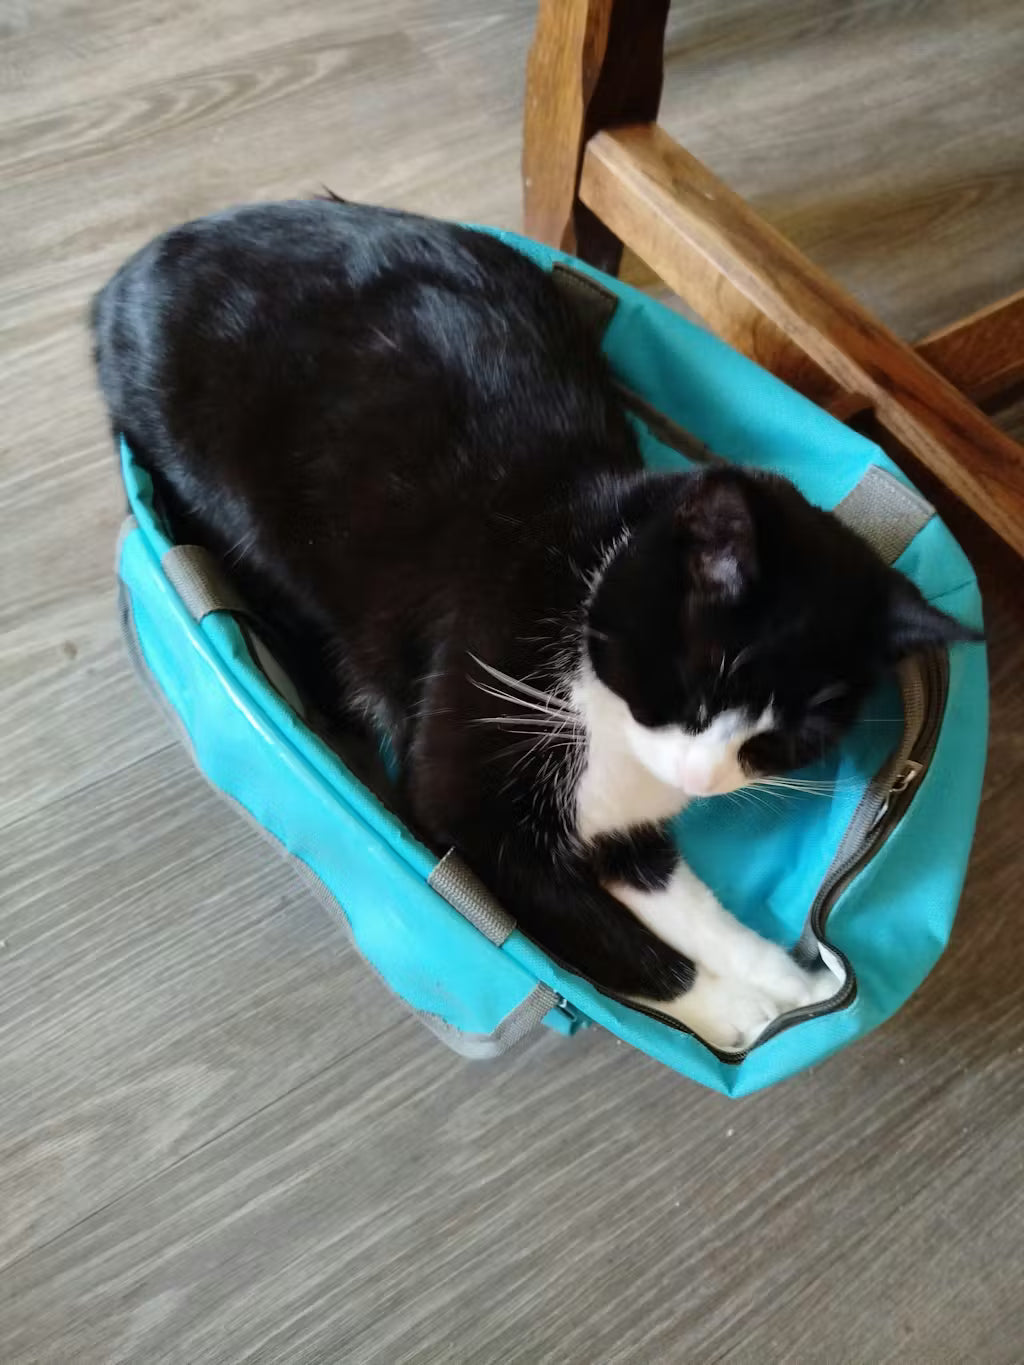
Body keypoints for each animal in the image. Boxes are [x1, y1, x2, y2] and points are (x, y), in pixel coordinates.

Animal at [92, 198, 978, 1051]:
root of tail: (129, 276)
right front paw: (728, 1011)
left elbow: (678, 897)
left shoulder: (623, 821)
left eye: (789, 739)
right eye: (699, 686)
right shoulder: (469, 796)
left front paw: (787, 986)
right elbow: (591, 927)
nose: (700, 780)